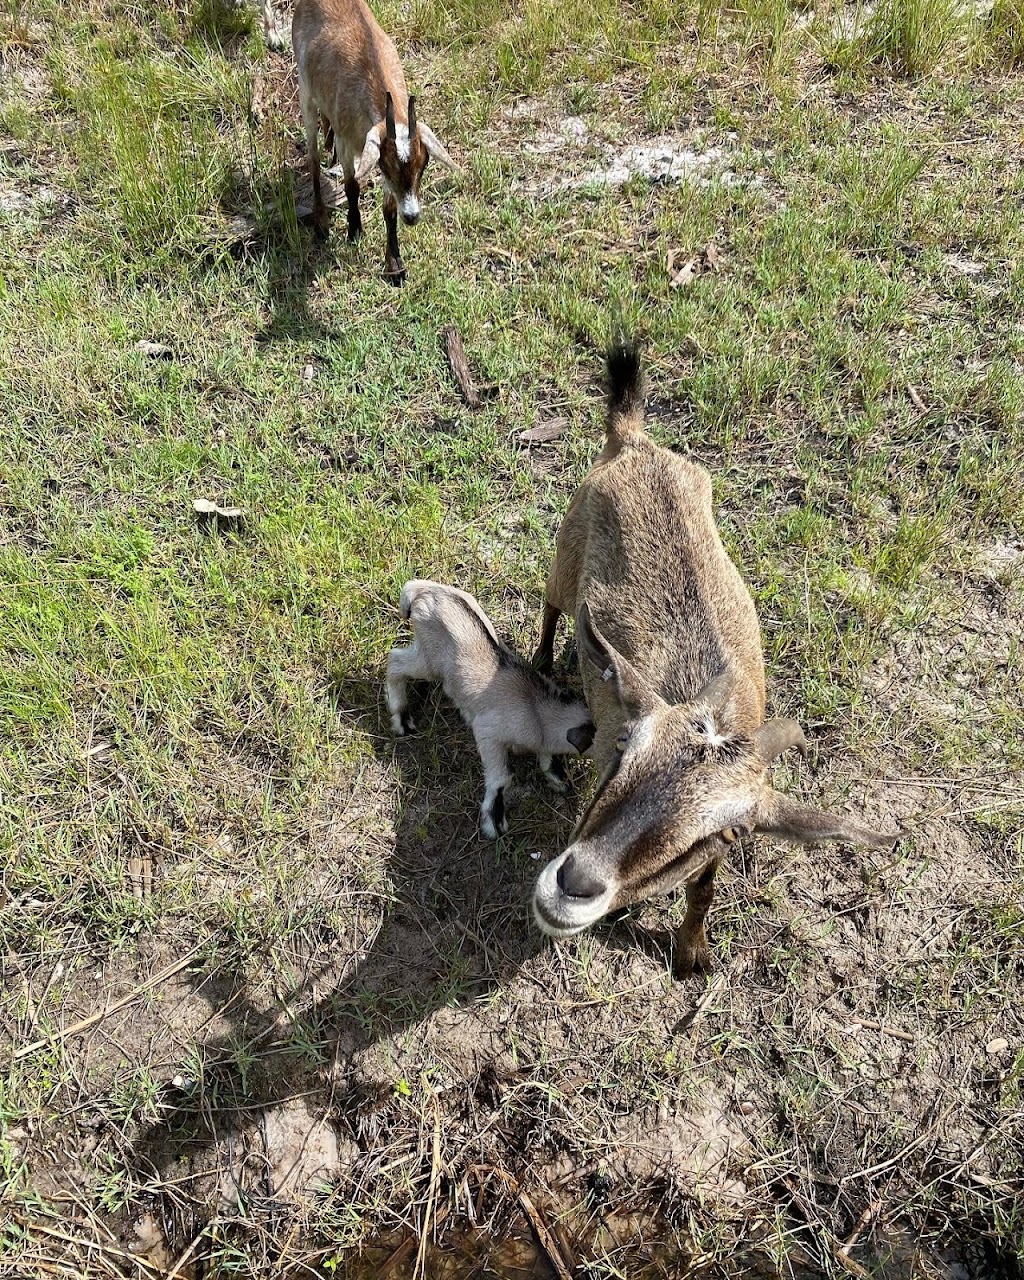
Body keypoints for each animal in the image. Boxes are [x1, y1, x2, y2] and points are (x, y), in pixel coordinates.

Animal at [291, 0, 460, 281]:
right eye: (387, 168)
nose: (412, 216)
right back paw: (321, 222)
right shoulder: (349, 142)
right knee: (313, 157)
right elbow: (352, 186)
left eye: (423, 165)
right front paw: (354, 231)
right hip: (305, 90)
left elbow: (389, 208)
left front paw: (395, 265)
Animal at [384, 581, 591, 839]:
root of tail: (423, 589)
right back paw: (402, 719)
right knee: (394, 661)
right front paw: (494, 822)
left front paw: (558, 778)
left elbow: (548, 757)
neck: (537, 711)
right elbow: (501, 778)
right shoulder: (488, 733)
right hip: (429, 660)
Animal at [532, 345, 901, 972]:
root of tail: (635, 442)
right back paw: (539, 662)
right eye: (623, 749)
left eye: (725, 833)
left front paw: (691, 954)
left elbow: (703, 889)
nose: (574, 884)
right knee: (552, 604)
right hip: (564, 552)